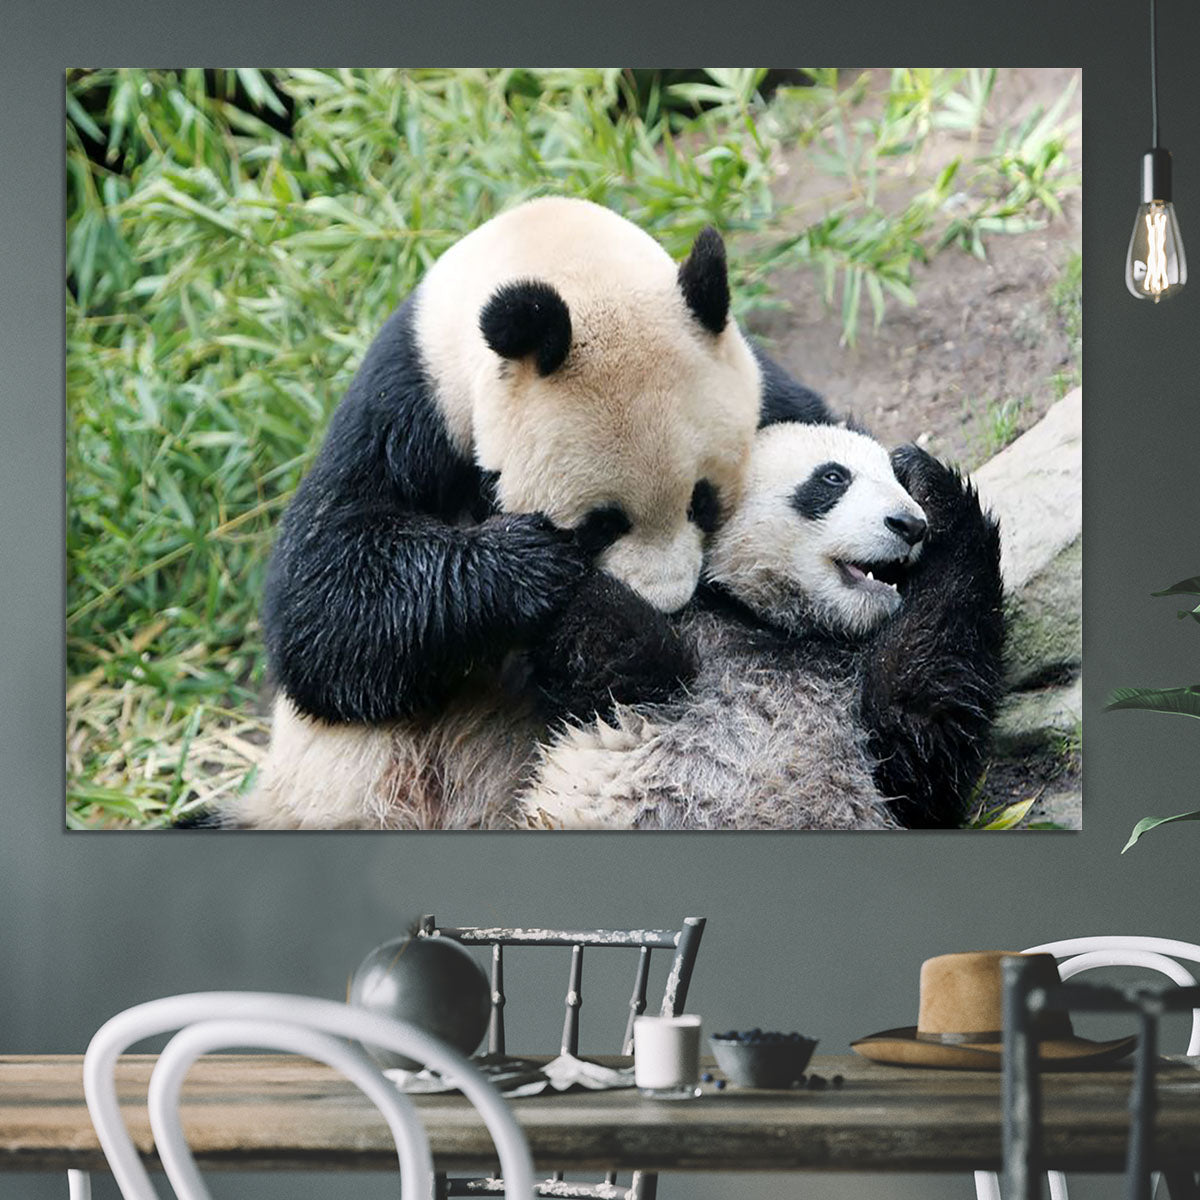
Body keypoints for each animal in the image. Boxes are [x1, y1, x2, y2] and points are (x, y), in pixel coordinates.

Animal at [219, 197, 830, 829]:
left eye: (702, 501)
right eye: (601, 525)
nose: (668, 604)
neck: (552, 249)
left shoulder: (759, 378)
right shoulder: (407, 402)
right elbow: (323, 599)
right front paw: (530, 566)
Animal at [516, 421, 1006, 831]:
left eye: (897, 485)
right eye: (833, 478)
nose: (909, 524)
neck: (785, 628)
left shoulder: (878, 744)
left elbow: (924, 718)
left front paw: (929, 479)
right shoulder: (695, 641)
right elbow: (618, 649)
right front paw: (531, 560)